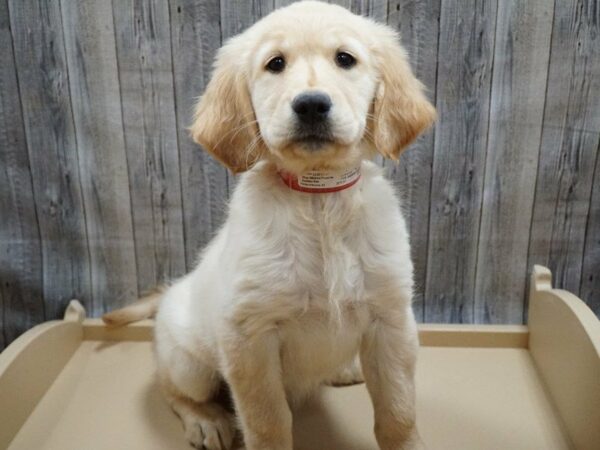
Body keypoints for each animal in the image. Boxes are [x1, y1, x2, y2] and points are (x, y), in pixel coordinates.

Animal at [103, 1, 434, 448]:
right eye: (275, 64)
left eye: (345, 59)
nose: (311, 104)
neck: (318, 199)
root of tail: (170, 292)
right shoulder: (249, 338)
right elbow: (267, 421)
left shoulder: (392, 320)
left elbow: (398, 412)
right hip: (189, 365)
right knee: (172, 390)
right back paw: (206, 421)